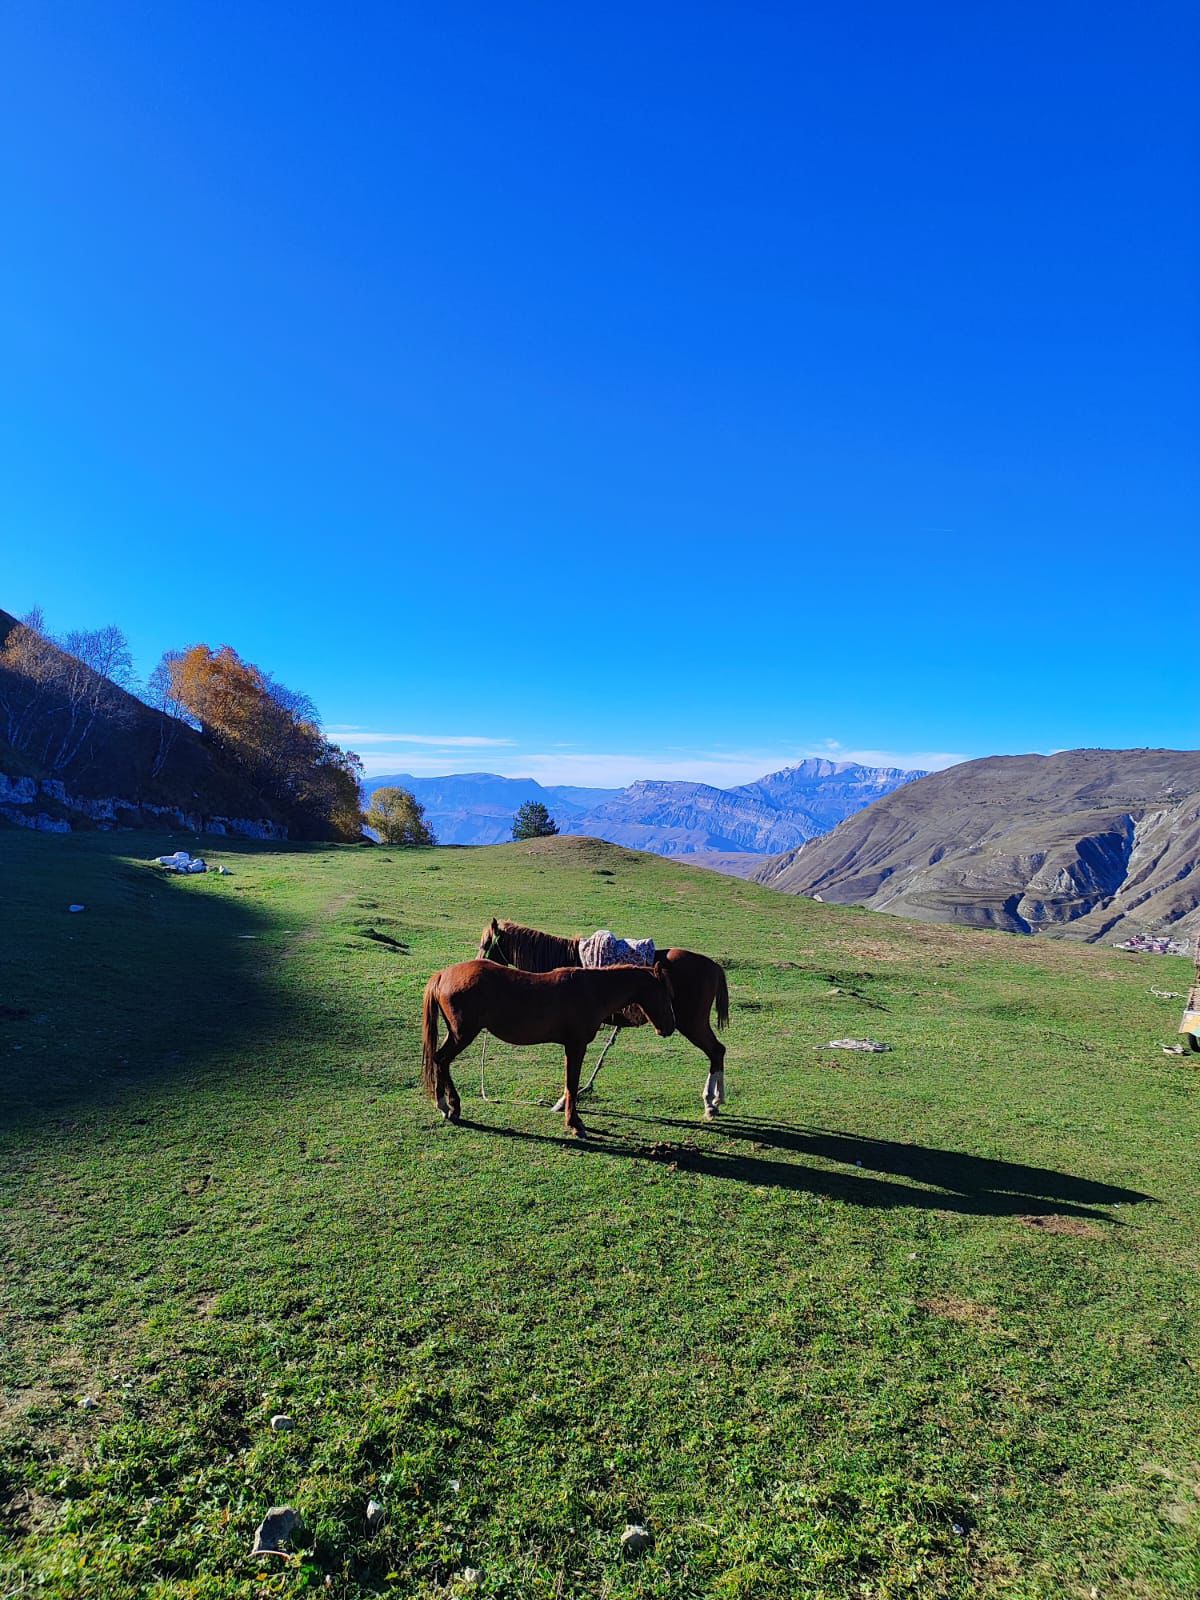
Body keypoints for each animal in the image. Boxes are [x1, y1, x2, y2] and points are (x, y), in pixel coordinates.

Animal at [428, 947, 681, 1139]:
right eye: (665, 995)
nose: (670, 1027)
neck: (592, 991)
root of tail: (443, 974)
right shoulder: (576, 1046)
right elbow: (572, 1084)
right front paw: (575, 1124)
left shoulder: (571, 1047)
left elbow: (570, 1084)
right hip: (463, 1035)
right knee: (442, 1060)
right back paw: (449, 1106)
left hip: (456, 1034)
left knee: (440, 1060)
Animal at [480, 921, 732, 1120]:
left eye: (484, 945)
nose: (476, 965)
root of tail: (714, 966)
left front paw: (563, 1103)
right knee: (717, 1051)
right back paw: (716, 1101)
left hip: (692, 1024)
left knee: (716, 1051)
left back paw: (710, 1103)